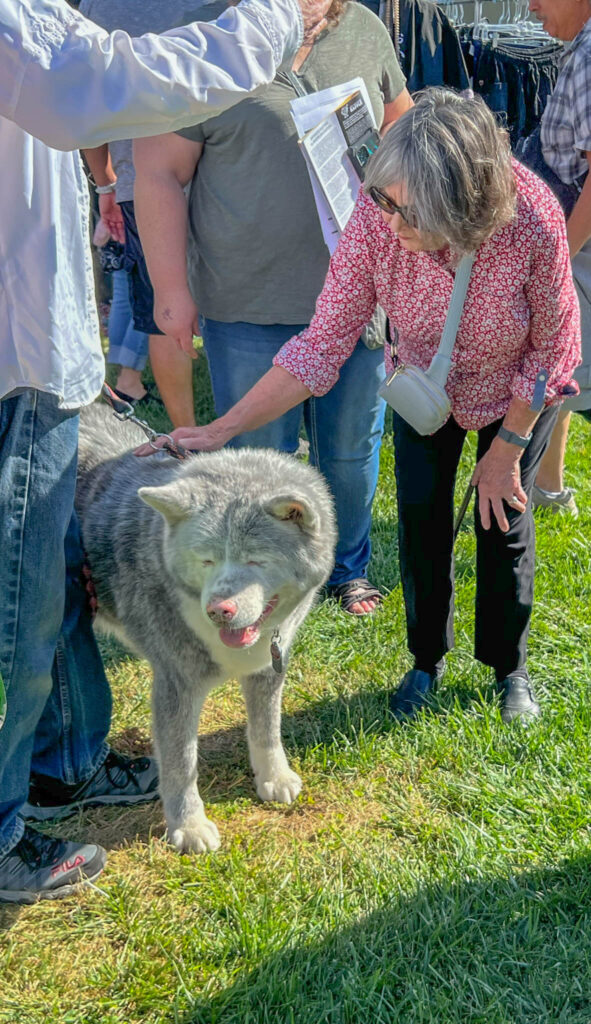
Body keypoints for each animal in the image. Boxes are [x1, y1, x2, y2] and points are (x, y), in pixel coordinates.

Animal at [75, 403, 333, 851]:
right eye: (207, 559)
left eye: (255, 560)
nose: (219, 610)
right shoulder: (175, 683)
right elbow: (181, 763)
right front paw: (189, 826)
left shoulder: (270, 666)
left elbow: (267, 729)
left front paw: (273, 776)